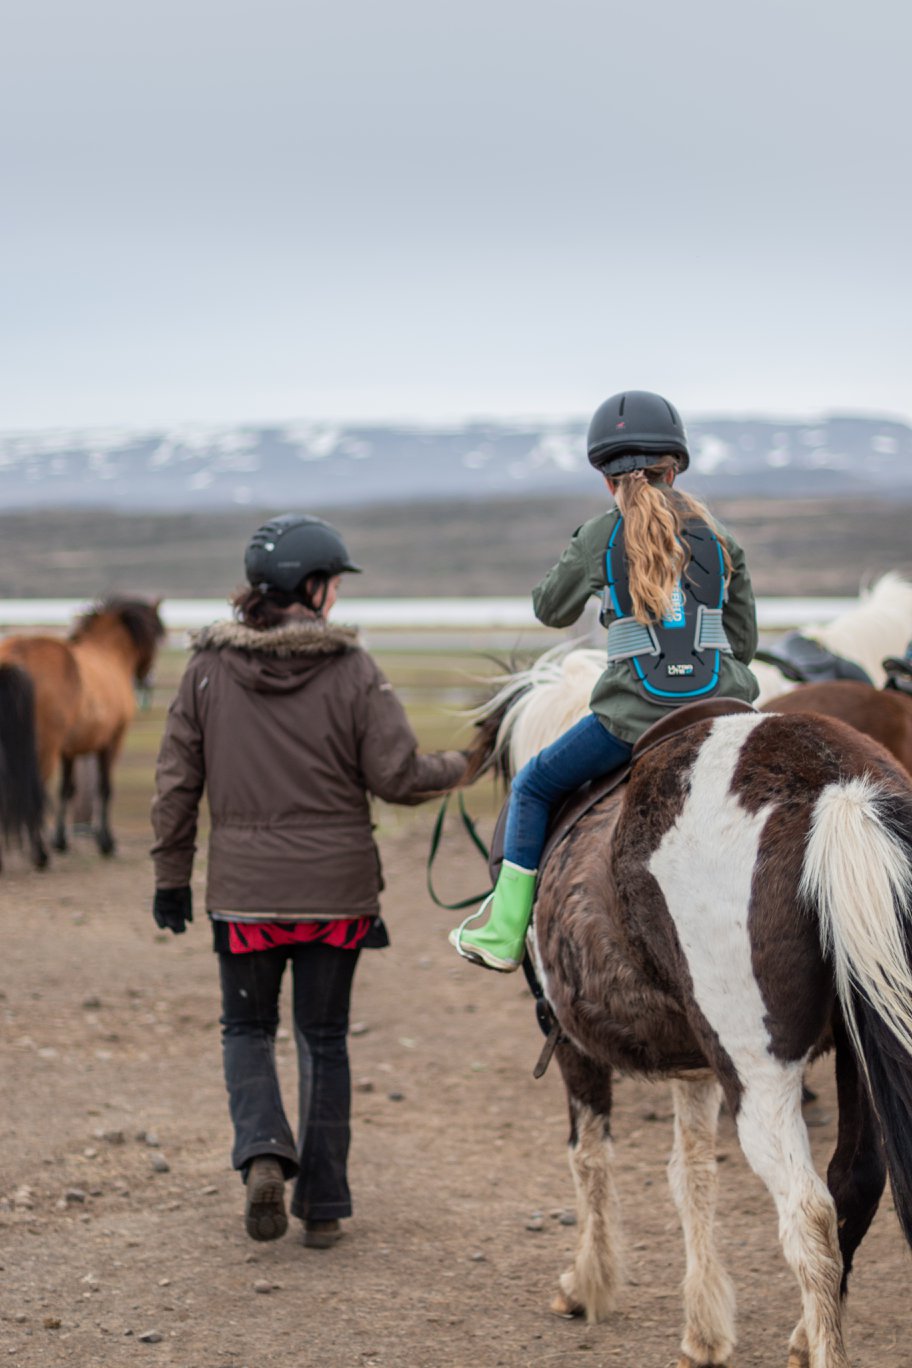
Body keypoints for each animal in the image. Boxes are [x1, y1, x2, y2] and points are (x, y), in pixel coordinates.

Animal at [0, 597, 165, 869]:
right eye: (156, 635)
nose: (147, 679)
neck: (107, 655)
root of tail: (16, 653)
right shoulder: (111, 742)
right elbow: (104, 788)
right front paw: (106, 842)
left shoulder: (70, 750)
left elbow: (67, 789)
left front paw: (60, 841)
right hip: (43, 747)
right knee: (36, 788)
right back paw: (39, 854)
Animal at [460, 662, 912, 1367]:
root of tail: (836, 787)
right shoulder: (697, 1065)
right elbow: (692, 1173)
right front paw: (704, 1328)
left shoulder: (570, 1041)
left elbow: (589, 1157)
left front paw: (587, 1283)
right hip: (861, 1047)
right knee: (855, 1184)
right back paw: (805, 1335)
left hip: (758, 1072)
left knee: (808, 1214)